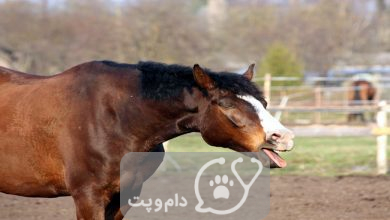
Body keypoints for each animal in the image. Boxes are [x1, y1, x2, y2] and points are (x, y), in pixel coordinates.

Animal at [0, 60, 292, 220]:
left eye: (264, 103)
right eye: (227, 104)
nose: (283, 137)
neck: (118, 116)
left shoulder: (125, 195)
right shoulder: (87, 197)